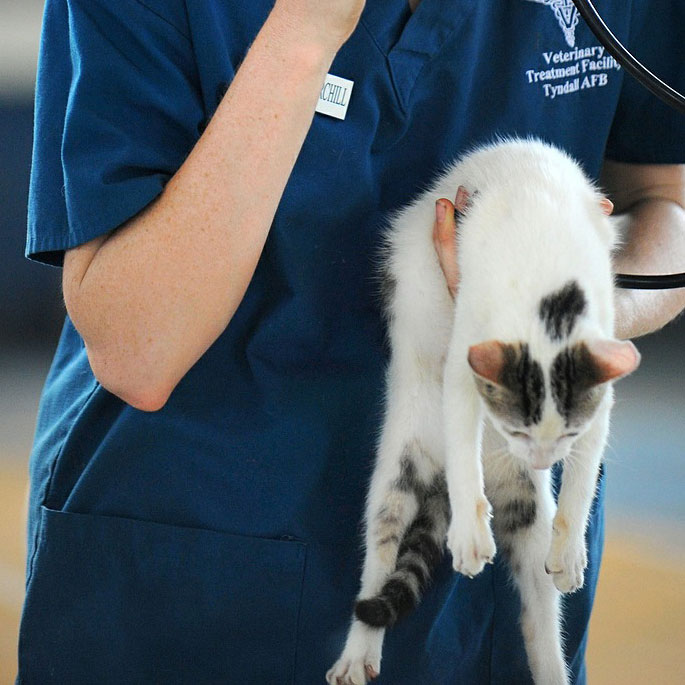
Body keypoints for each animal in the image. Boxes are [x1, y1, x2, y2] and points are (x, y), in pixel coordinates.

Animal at [328, 140, 640, 684]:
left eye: (565, 438)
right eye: (515, 429)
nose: (541, 461)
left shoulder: (599, 373)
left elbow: (584, 469)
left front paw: (571, 550)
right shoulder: (468, 337)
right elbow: (461, 416)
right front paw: (472, 536)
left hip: (530, 508)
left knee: (539, 617)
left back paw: (552, 662)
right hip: (399, 469)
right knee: (381, 550)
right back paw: (357, 652)